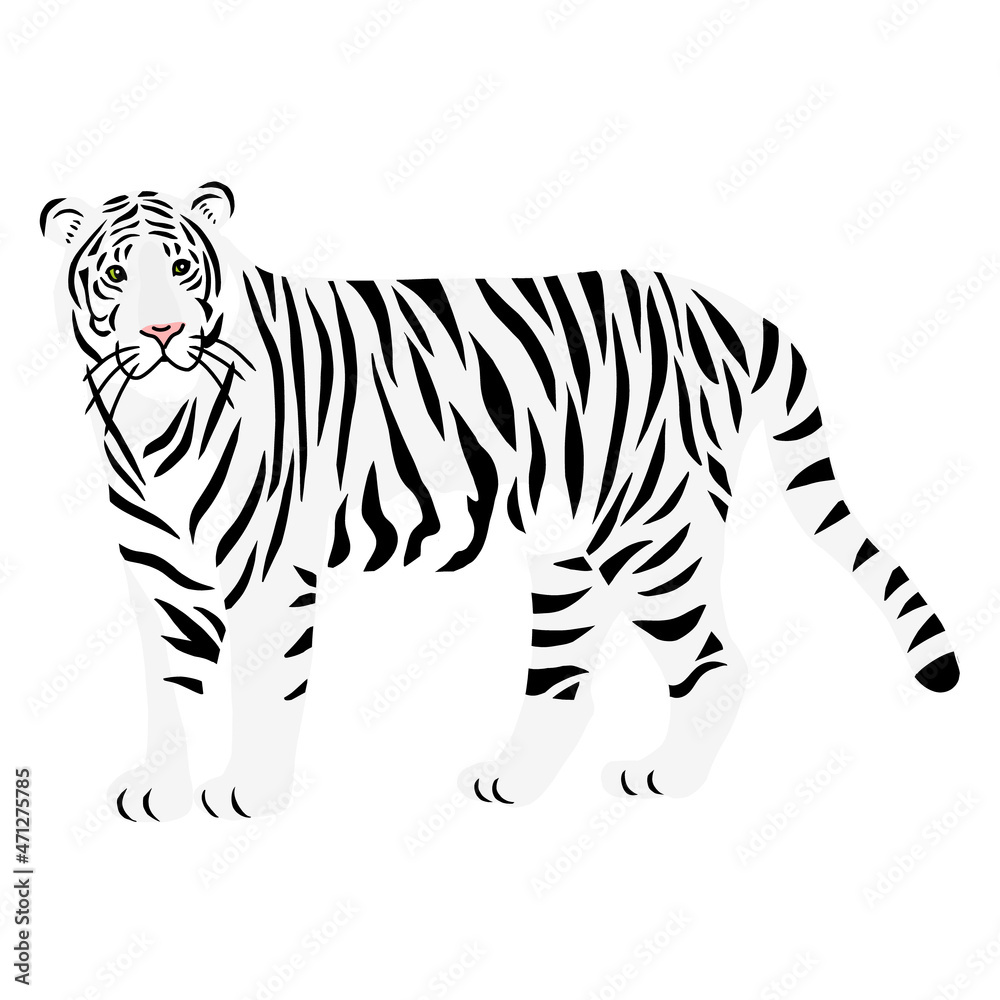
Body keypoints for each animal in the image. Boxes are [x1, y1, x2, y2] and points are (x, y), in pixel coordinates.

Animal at [41, 182, 960, 820]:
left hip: (654, 531)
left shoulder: (270, 579)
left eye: (181, 270)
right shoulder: (159, 580)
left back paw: (667, 779)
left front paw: (247, 795)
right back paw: (513, 783)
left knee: (714, 662)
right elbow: (171, 696)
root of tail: (720, 307)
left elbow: (264, 691)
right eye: (116, 274)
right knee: (564, 676)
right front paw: (160, 792)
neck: (155, 426)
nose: (161, 334)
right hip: (571, 550)